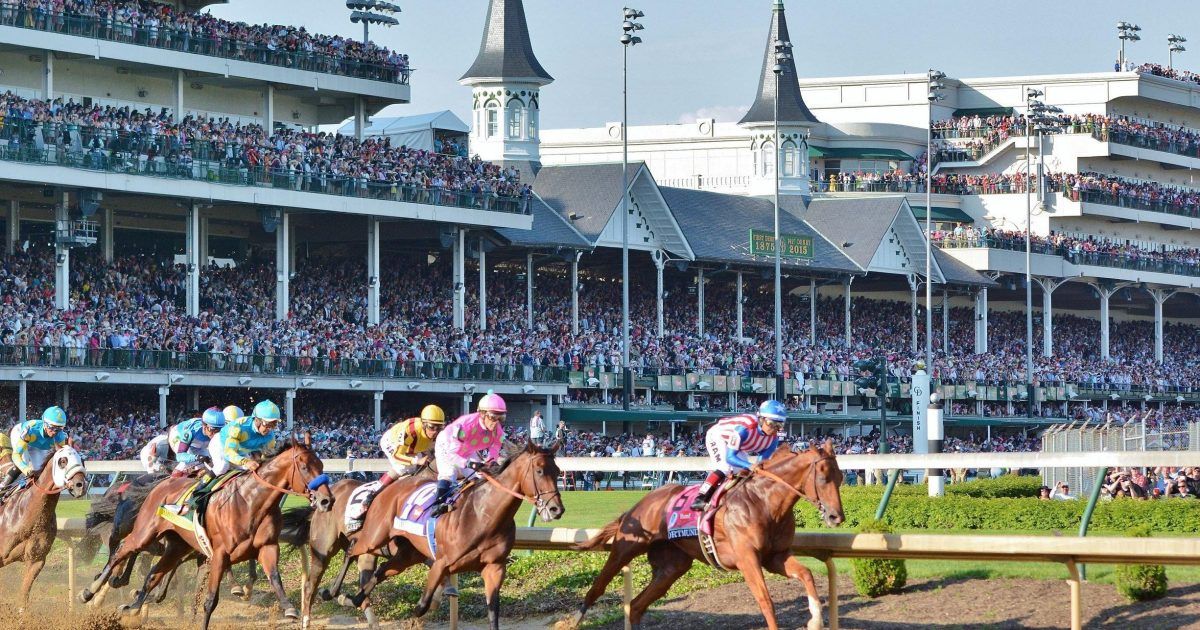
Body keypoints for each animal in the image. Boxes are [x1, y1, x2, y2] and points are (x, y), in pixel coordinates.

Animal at [79, 439, 333, 624]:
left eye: (321, 466)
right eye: (304, 467)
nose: (326, 500)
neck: (250, 501)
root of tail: (159, 485)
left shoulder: (267, 547)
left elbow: (274, 578)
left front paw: (289, 609)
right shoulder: (219, 554)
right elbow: (209, 600)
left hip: (177, 546)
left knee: (152, 573)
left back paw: (131, 606)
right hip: (144, 533)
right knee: (122, 550)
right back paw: (90, 591)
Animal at [343, 439, 566, 628]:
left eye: (557, 471)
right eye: (539, 470)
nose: (556, 509)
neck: (483, 515)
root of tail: (390, 487)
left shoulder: (494, 568)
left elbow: (493, 612)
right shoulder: (441, 563)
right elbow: (422, 606)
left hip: (409, 553)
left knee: (383, 569)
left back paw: (356, 598)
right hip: (374, 537)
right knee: (352, 550)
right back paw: (339, 593)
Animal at [571, 441, 844, 628]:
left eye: (841, 477)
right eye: (822, 477)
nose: (836, 517)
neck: (764, 502)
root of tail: (638, 504)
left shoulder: (775, 557)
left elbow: (806, 573)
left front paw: (815, 620)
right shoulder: (747, 559)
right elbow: (766, 602)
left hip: (672, 566)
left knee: (636, 606)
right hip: (626, 547)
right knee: (599, 586)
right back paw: (576, 617)